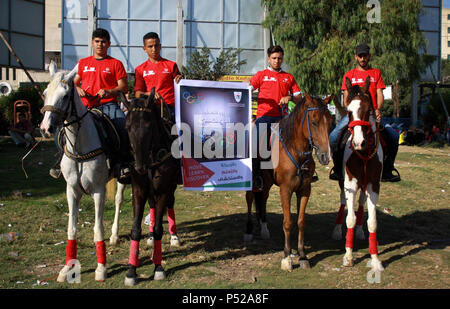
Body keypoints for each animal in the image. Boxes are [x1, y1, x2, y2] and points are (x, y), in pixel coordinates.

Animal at [39, 60, 125, 282]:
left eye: (65, 96)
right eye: (45, 93)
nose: (45, 128)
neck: (80, 146)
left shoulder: (98, 191)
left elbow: (97, 229)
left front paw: (101, 268)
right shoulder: (72, 190)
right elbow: (72, 229)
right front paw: (67, 268)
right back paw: (115, 236)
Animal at [120, 88, 182, 284]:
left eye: (148, 127)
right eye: (127, 127)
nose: (140, 166)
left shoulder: (163, 189)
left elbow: (158, 230)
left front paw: (159, 267)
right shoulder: (138, 190)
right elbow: (135, 230)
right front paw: (131, 271)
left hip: (170, 187)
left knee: (170, 203)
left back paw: (174, 236)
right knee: (153, 206)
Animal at [244, 93, 332, 270]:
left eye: (331, 122)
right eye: (314, 122)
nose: (326, 156)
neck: (295, 150)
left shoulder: (304, 190)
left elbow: (301, 221)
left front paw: (302, 255)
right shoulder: (285, 189)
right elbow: (288, 222)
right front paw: (286, 257)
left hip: (267, 182)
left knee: (263, 199)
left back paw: (264, 228)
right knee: (250, 199)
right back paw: (249, 231)